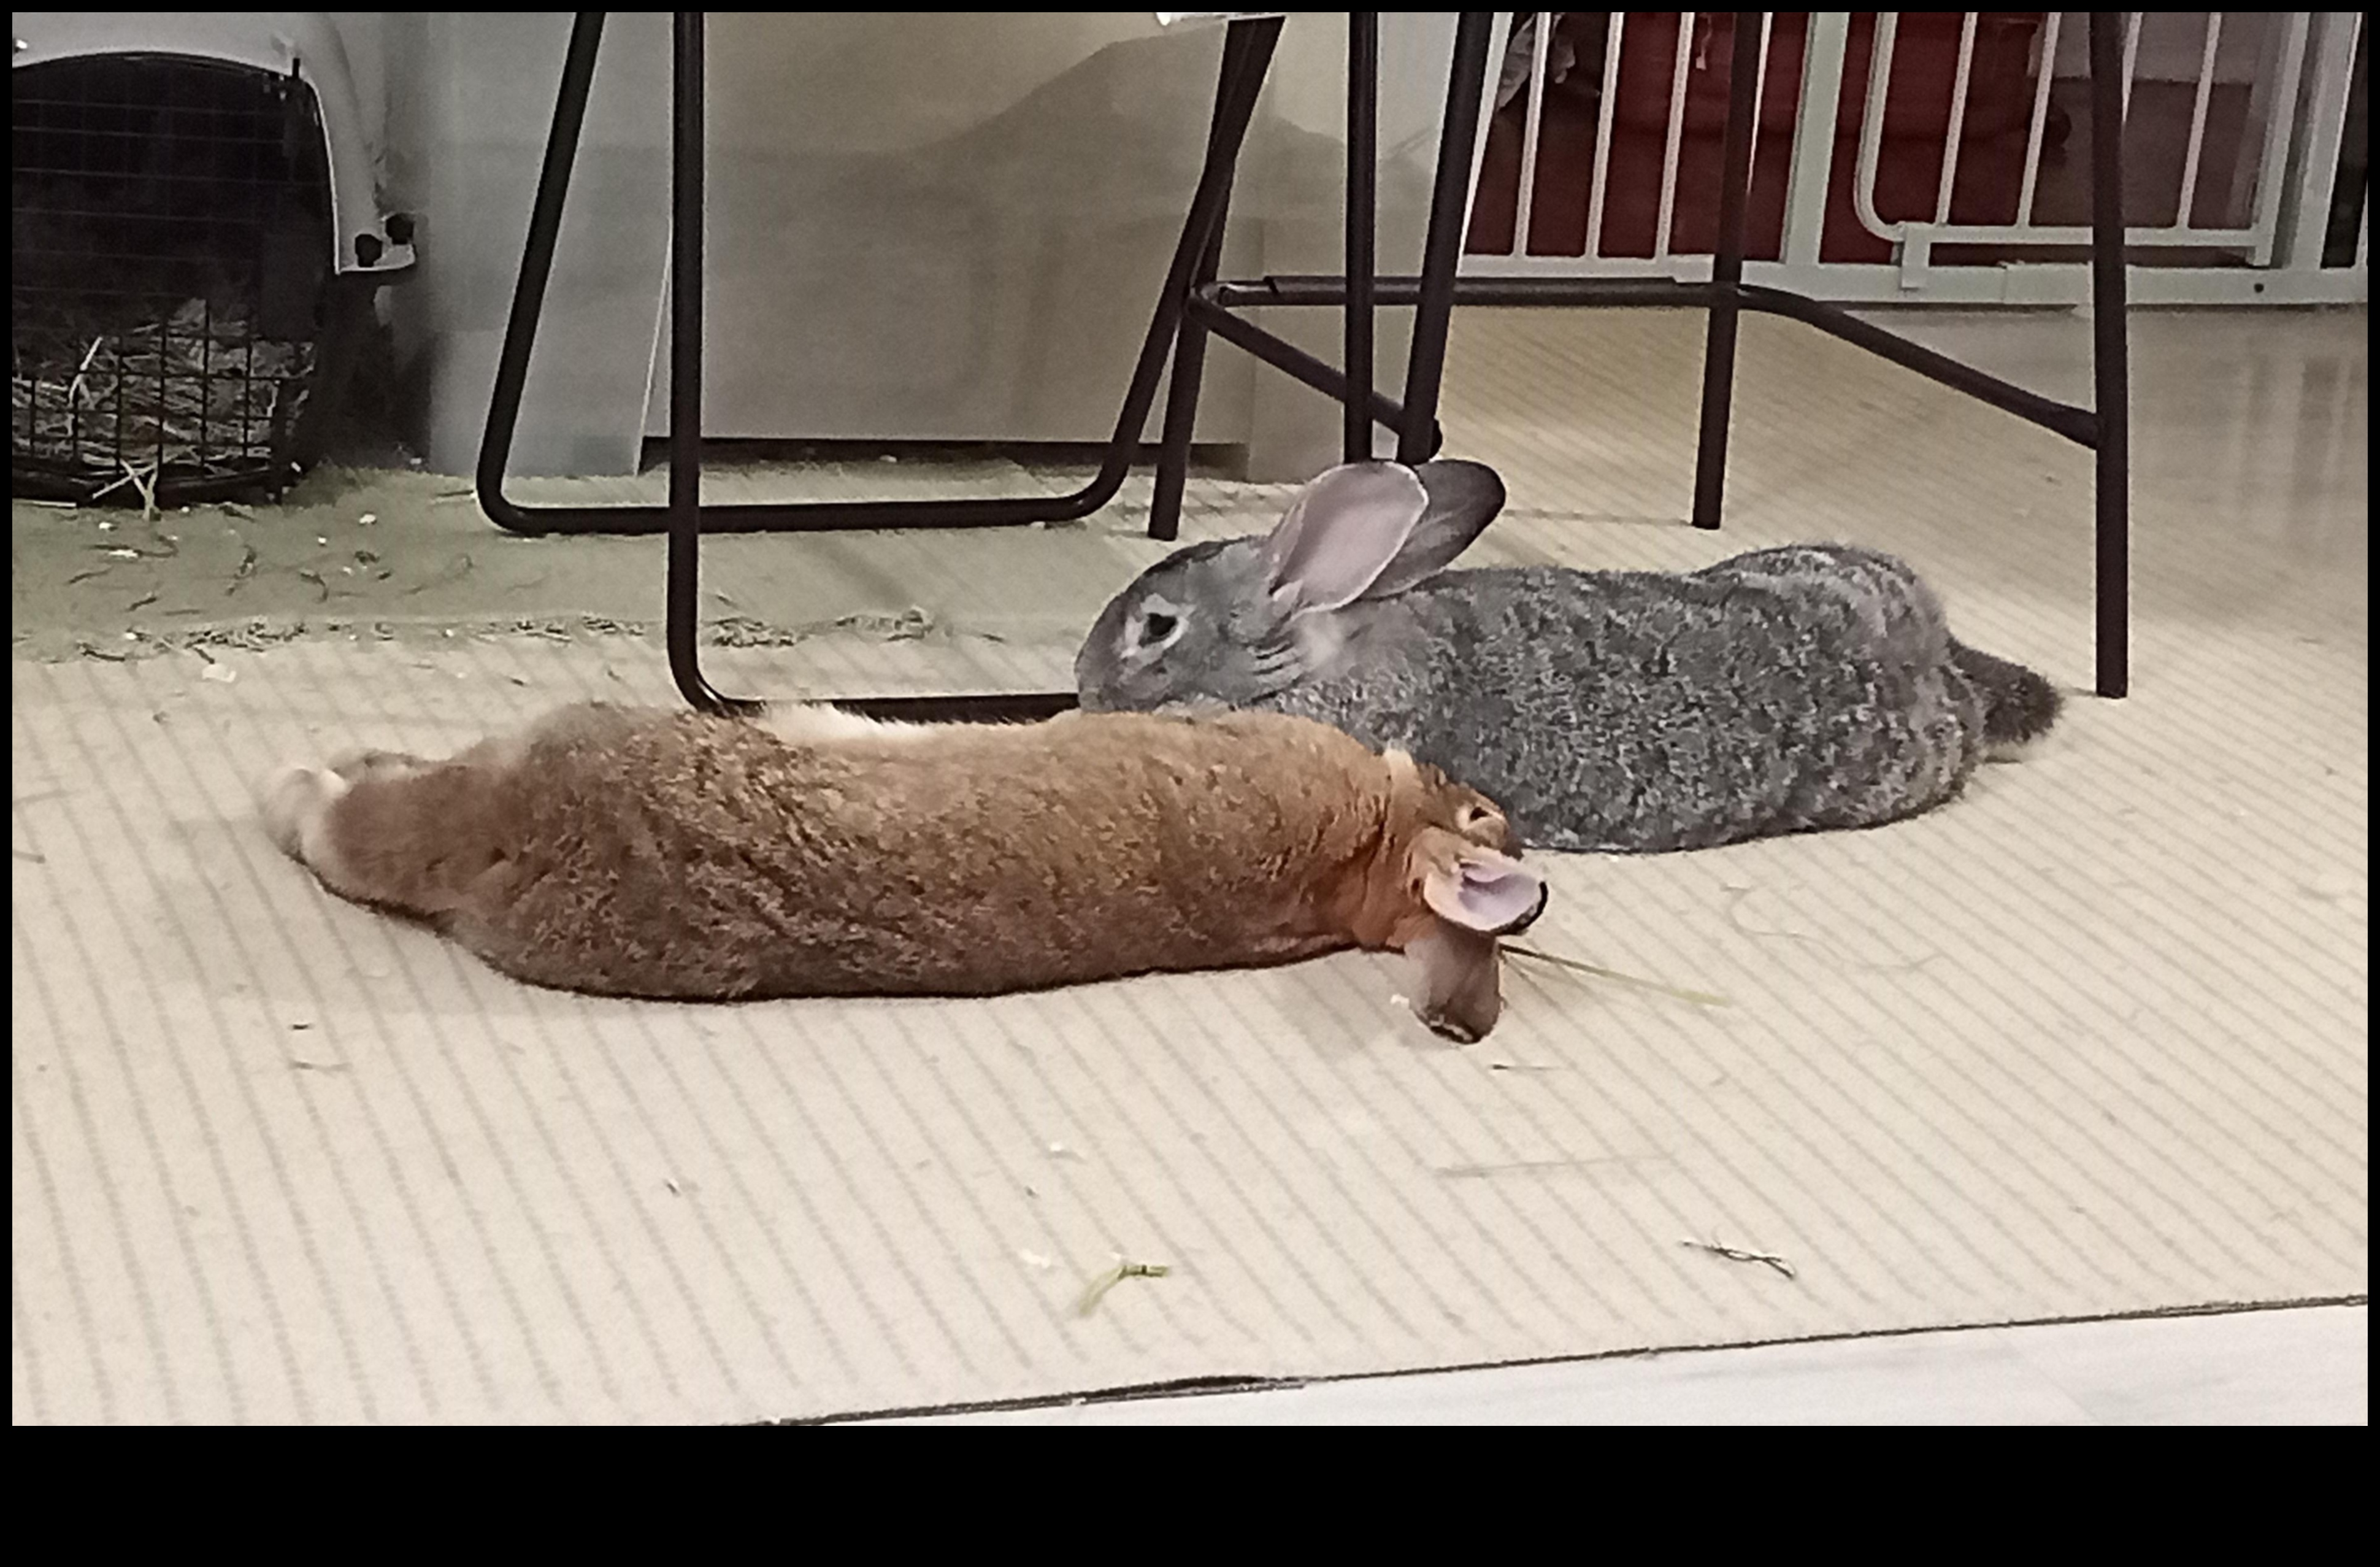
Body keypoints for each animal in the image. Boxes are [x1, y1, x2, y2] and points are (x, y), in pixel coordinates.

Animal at [258, 700, 1549, 1043]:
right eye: (1489, 814)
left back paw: (296, 786)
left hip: (524, 758)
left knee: (358, 824)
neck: (1365, 847)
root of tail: (522, 835)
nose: (1488, 785)